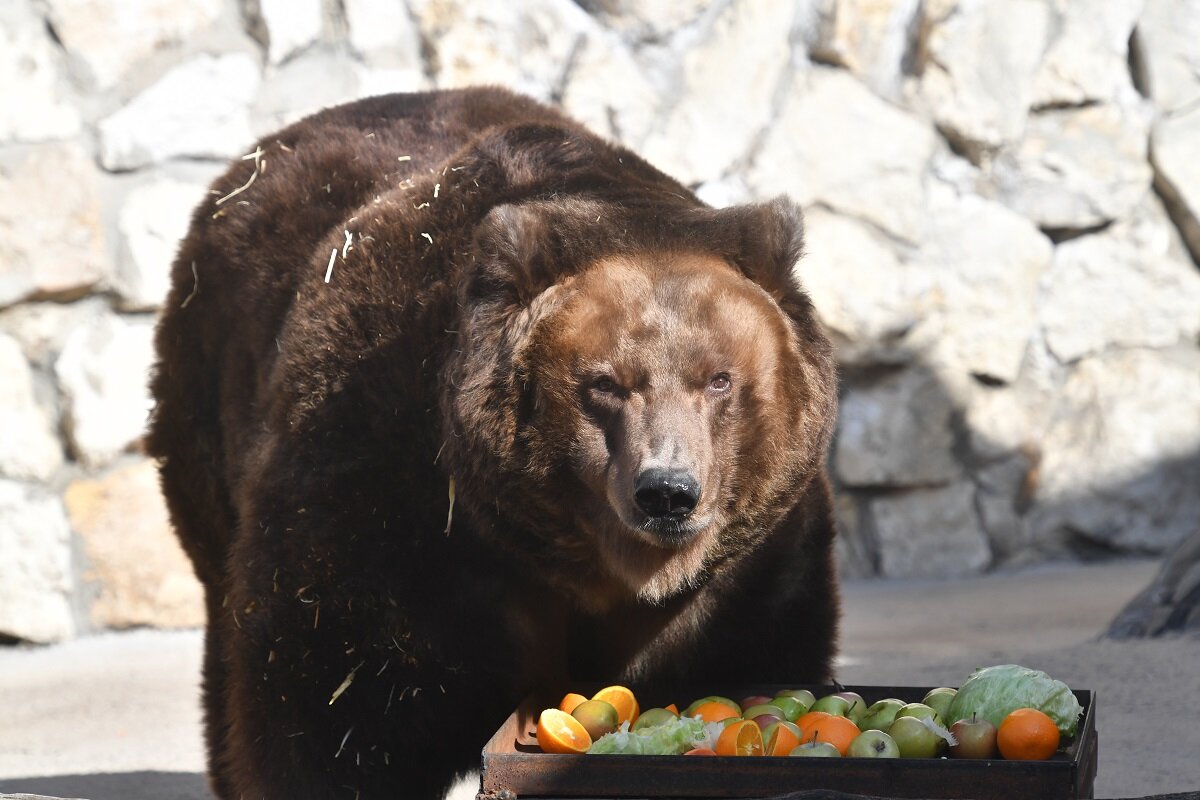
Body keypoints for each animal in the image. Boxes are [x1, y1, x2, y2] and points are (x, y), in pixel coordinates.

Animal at [150, 87, 840, 800]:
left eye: (719, 379)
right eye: (605, 384)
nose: (668, 492)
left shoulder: (741, 577)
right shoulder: (393, 498)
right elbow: (333, 705)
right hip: (209, 400)